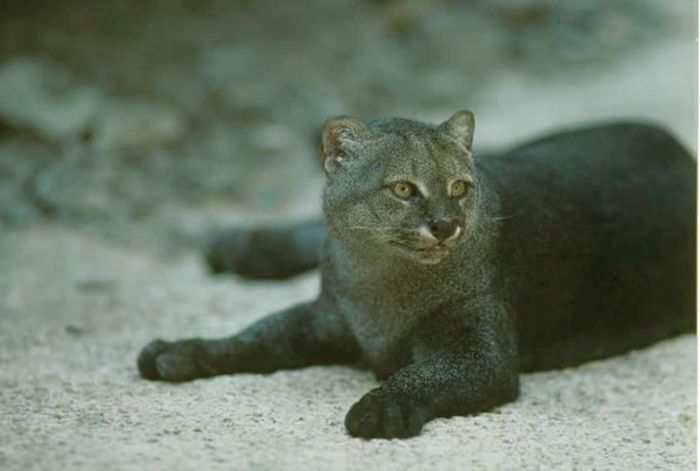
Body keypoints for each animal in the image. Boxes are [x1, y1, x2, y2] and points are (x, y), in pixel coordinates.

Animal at [137, 111, 696, 438]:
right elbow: (258, 335)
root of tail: (676, 147)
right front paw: (181, 350)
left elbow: (423, 374)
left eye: (459, 188)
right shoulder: (328, 316)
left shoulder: (480, 351)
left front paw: (382, 407)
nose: (446, 225)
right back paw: (243, 245)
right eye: (404, 189)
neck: (380, 285)